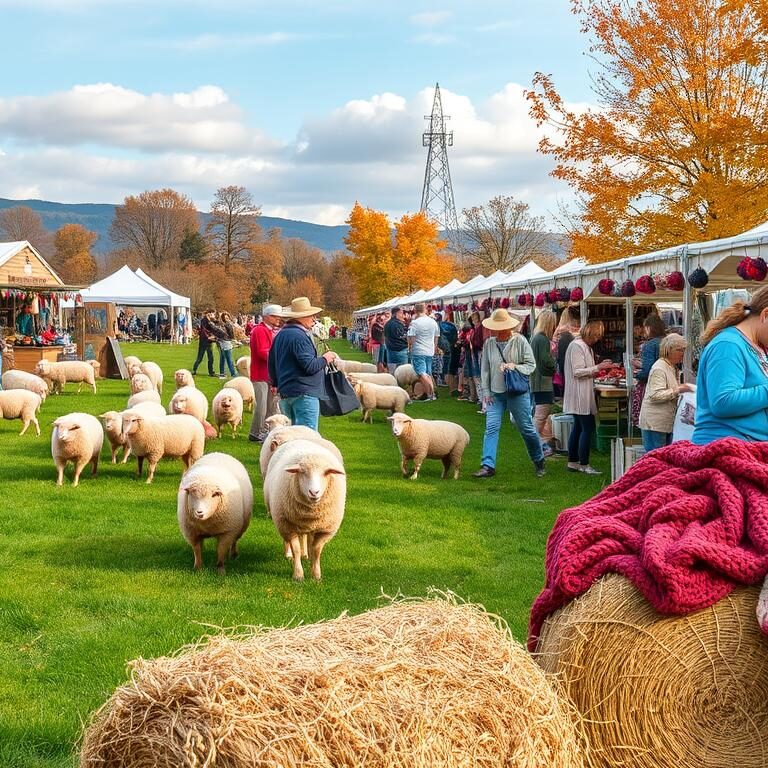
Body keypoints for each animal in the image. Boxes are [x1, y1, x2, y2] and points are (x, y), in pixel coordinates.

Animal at [264, 440, 348, 580]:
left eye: (325, 473)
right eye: (302, 472)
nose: (314, 492)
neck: (311, 511)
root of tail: (300, 440)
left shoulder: (324, 530)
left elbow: (317, 549)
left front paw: (316, 575)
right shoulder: (288, 526)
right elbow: (296, 549)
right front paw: (298, 575)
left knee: (306, 537)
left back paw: (306, 555)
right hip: (283, 520)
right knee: (289, 540)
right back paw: (289, 555)